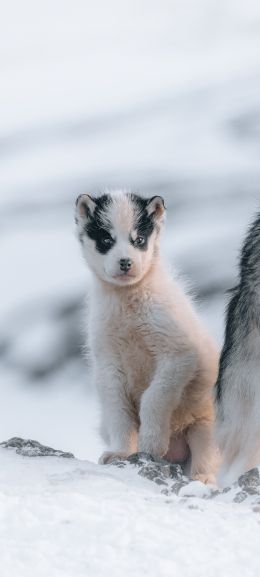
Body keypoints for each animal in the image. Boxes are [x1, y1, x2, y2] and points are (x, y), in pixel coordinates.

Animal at [75, 190, 219, 482]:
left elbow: (154, 397)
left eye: (139, 240)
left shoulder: (178, 354)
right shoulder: (108, 362)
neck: (128, 305)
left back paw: (202, 479)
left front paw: (151, 445)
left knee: (205, 458)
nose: (125, 262)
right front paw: (120, 453)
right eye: (106, 239)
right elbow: (119, 411)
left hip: (204, 426)